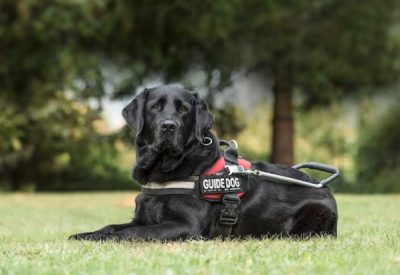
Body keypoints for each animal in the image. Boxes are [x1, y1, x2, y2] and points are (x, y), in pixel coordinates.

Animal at [69, 84, 338, 242]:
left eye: (184, 109)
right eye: (155, 106)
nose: (169, 126)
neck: (164, 170)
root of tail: (325, 187)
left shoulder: (186, 226)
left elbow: (131, 233)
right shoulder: (143, 217)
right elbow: (112, 226)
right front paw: (87, 234)